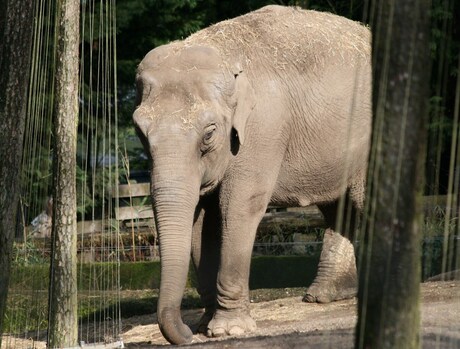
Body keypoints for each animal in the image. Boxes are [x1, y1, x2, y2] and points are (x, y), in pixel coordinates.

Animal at [133, 4, 370, 344]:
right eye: (139, 132)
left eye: (209, 134)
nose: (186, 334)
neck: (222, 54)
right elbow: (202, 220)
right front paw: (205, 326)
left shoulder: (261, 129)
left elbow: (237, 207)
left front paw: (227, 329)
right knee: (337, 206)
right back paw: (324, 296)